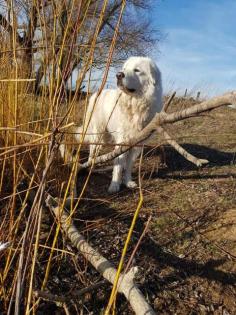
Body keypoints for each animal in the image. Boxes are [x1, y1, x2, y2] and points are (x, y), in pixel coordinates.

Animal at [75, 58, 162, 194]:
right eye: (124, 68)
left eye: (137, 70)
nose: (119, 75)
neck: (135, 105)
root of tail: (96, 93)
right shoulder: (122, 141)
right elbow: (119, 165)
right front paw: (114, 185)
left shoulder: (136, 144)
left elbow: (128, 165)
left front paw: (128, 182)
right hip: (97, 134)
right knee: (92, 151)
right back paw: (89, 167)